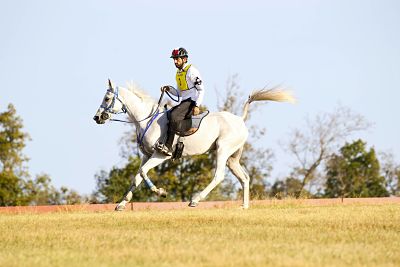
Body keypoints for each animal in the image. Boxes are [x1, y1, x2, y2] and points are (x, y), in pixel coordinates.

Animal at [93, 80, 294, 210]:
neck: (147, 120)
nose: (97, 117)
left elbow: (142, 173)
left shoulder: (160, 155)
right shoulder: (146, 155)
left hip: (222, 150)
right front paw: (121, 204)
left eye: (106, 98)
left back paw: (195, 199)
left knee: (219, 176)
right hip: (232, 158)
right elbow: (136, 177)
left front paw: (160, 192)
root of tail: (240, 119)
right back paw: (244, 206)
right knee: (244, 178)